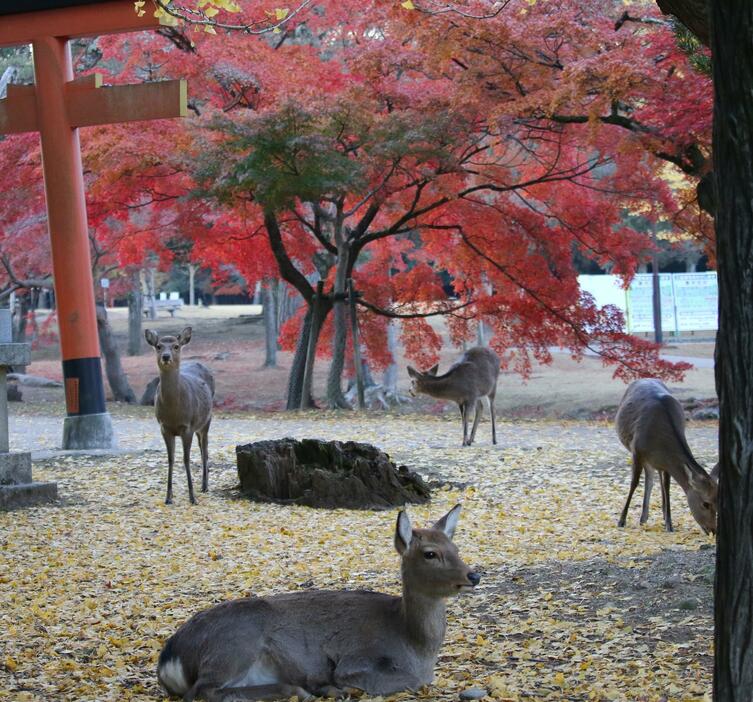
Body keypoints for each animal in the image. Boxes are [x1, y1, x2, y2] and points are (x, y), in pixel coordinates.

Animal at [145, 328, 213, 506]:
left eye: (176, 346)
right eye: (158, 346)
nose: (166, 356)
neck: (174, 413)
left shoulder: (187, 426)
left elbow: (186, 459)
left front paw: (192, 497)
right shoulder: (164, 427)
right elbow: (170, 459)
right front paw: (168, 497)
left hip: (207, 420)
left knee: (205, 450)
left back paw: (204, 486)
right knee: (202, 447)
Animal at [156, 506, 478, 702]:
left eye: (456, 547)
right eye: (430, 553)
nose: (473, 575)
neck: (415, 646)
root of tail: (169, 658)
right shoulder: (357, 659)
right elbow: (413, 681)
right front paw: (337, 686)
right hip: (234, 643)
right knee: (202, 692)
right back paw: (309, 690)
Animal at [612, 382, 716, 536]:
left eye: (719, 501)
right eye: (705, 503)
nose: (713, 530)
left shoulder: (666, 462)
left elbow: (667, 488)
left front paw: (669, 524)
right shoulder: (636, 450)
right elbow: (634, 483)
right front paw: (621, 521)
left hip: (655, 461)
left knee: (655, 479)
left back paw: (653, 516)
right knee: (649, 478)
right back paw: (643, 518)